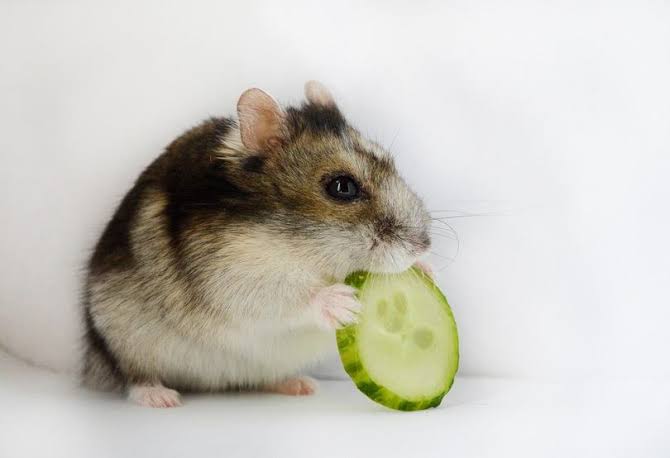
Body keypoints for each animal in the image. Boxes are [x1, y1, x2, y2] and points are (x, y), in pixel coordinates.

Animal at [82, 81, 432, 407]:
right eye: (342, 187)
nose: (423, 246)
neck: (299, 247)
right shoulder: (236, 280)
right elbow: (291, 299)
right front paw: (345, 303)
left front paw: (426, 270)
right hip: (126, 342)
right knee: (134, 376)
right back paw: (162, 398)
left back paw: (300, 385)